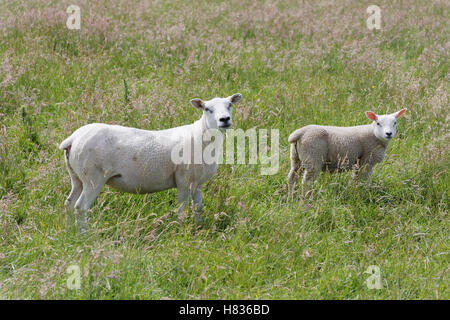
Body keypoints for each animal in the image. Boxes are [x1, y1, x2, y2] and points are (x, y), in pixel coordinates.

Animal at [60, 93, 243, 232]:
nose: (224, 119)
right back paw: (83, 234)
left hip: (76, 177)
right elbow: (182, 207)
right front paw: (180, 227)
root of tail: (73, 139)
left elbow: (197, 207)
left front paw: (198, 227)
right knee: (80, 207)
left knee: (69, 203)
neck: (202, 136)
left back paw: (68, 231)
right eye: (207, 109)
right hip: (93, 177)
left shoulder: (197, 183)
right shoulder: (183, 179)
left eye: (229, 105)